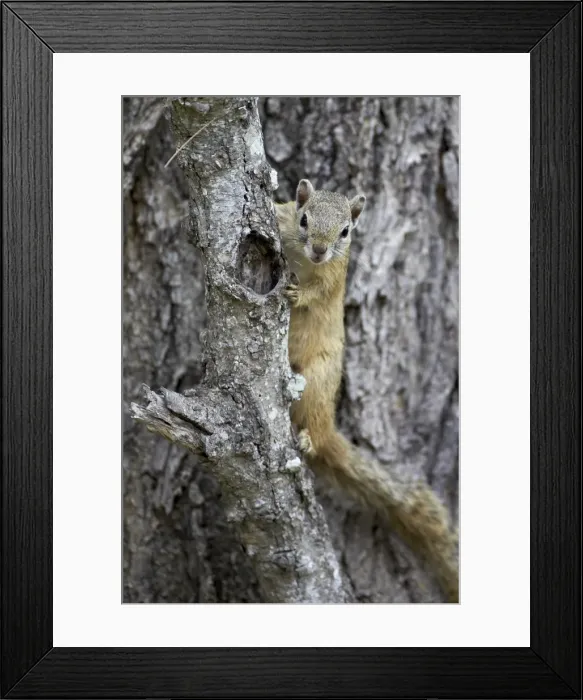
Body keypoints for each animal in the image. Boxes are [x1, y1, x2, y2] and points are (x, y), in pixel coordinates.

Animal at [275, 179, 459, 603]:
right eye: (303, 218)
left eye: (346, 231)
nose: (320, 249)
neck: (307, 260)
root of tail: (328, 427)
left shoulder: (334, 276)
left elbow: (318, 293)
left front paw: (298, 295)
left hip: (319, 381)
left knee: (315, 427)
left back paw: (308, 439)